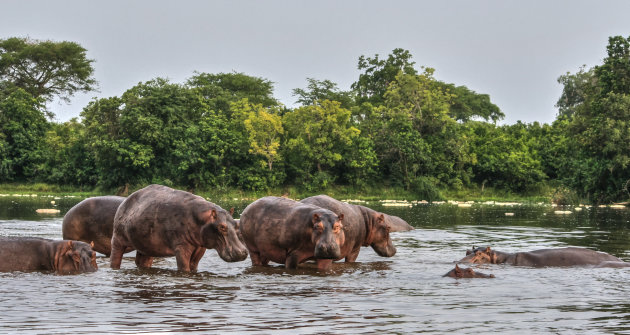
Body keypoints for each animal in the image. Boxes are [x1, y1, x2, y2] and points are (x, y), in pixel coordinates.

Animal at [110, 185, 248, 272]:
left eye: (236, 225)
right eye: (221, 227)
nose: (242, 252)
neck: (202, 219)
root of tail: (125, 201)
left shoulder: (200, 247)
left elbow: (194, 266)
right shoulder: (181, 247)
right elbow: (184, 267)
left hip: (146, 247)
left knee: (142, 262)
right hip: (117, 240)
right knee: (115, 257)